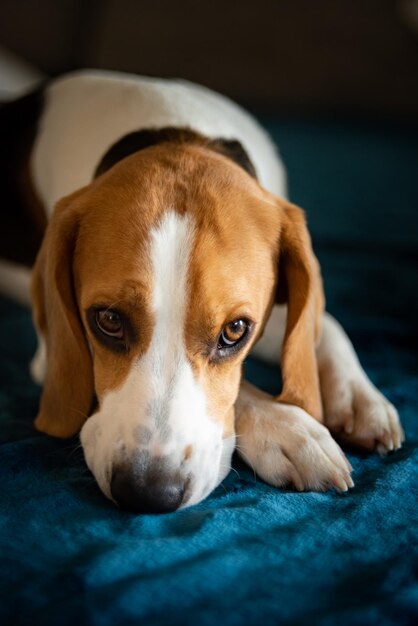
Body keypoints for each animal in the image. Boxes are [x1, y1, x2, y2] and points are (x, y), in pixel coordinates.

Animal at [0, 70, 404, 512]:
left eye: (235, 330)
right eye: (107, 320)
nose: (148, 493)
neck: (178, 132)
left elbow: (323, 323)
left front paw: (358, 397)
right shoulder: (49, 358)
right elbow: (245, 391)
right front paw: (288, 428)